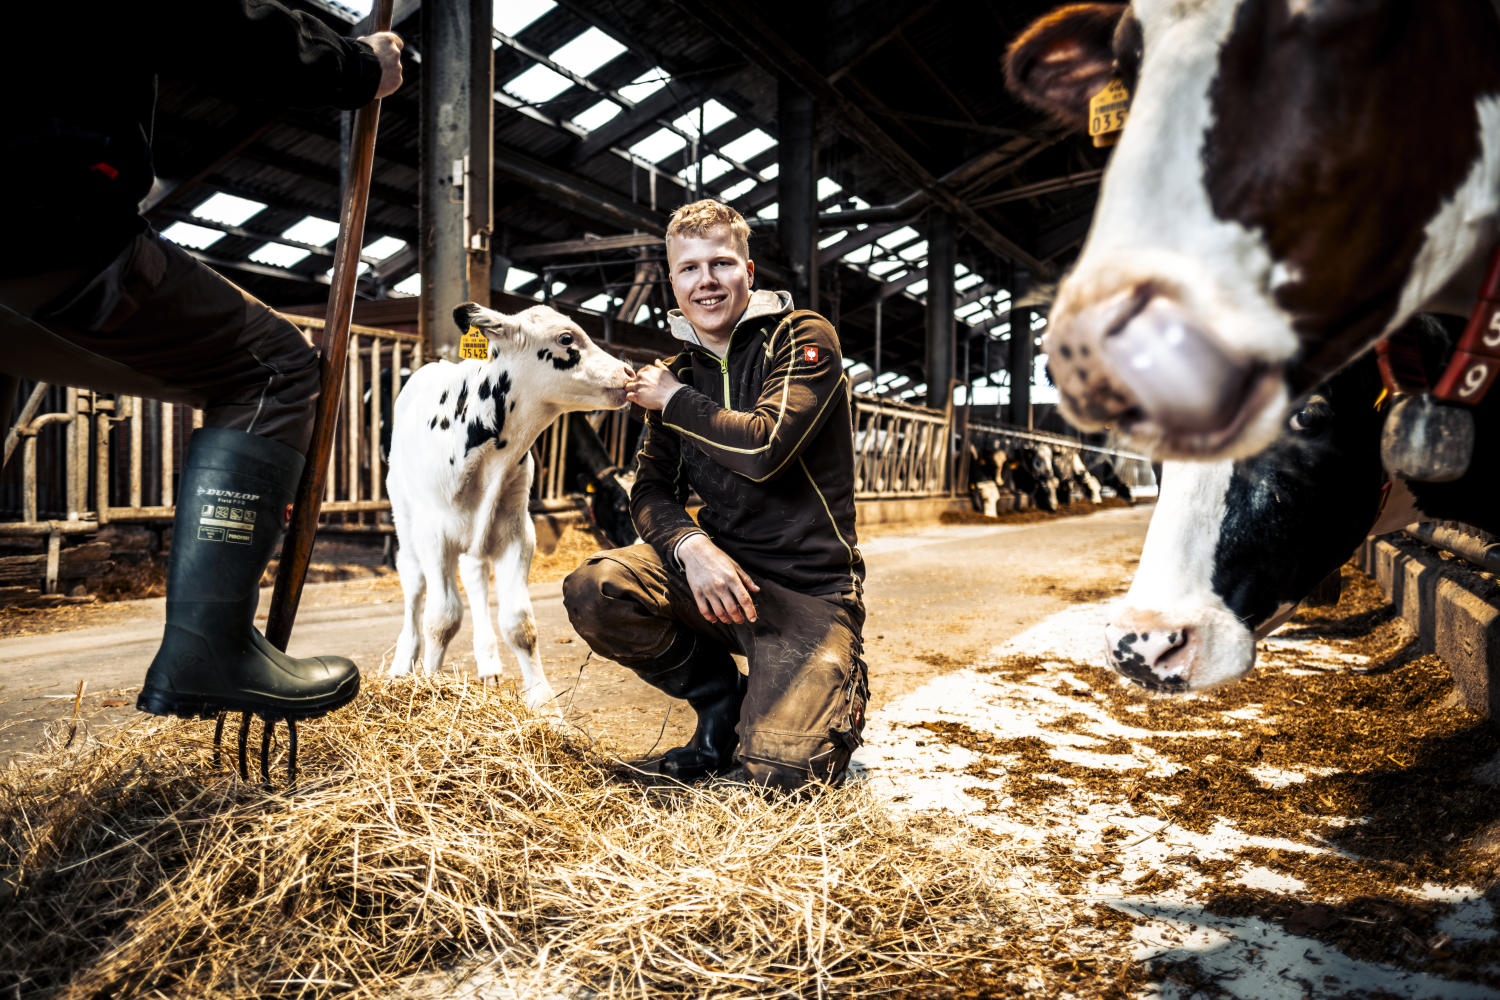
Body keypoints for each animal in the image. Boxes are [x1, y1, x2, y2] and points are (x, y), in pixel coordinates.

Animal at [387, 301, 633, 707]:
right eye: (566, 338)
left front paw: (545, 705)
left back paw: (488, 663)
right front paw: (429, 689)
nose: (628, 372)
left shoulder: (516, 531)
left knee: (474, 575)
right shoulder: (433, 534)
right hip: (404, 513)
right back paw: (402, 665)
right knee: (413, 579)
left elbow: (519, 622)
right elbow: (442, 617)